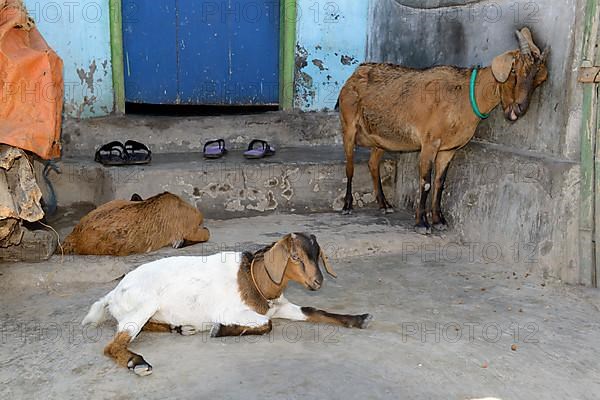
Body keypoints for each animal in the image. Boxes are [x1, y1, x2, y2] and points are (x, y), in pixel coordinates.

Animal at [81, 233, 370, 376]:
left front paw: (357, 319)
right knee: (114, 343)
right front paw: (219, 329)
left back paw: (180, 328)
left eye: (317, 254)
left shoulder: (282, 306)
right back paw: (137, 362)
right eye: (296, 257)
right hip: (144, 304)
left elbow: (312, 310)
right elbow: (267, 324)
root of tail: (112, 294)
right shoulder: (232, 311)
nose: (317, 282)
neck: (255, 279)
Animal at [338, 27, 548, 234]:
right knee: (349, 166)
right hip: (348, 125)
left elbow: (440, 182)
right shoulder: (430, 143)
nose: (519, 108)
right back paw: (347, 206)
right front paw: (422, 223)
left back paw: (384, 204)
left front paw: (439, 220)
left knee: (373, 164)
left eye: (538, 81)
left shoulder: (448, 149)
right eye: (513, 71)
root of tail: (354, 75)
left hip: (380, 138)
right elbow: (426, 182)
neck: (466, 96)